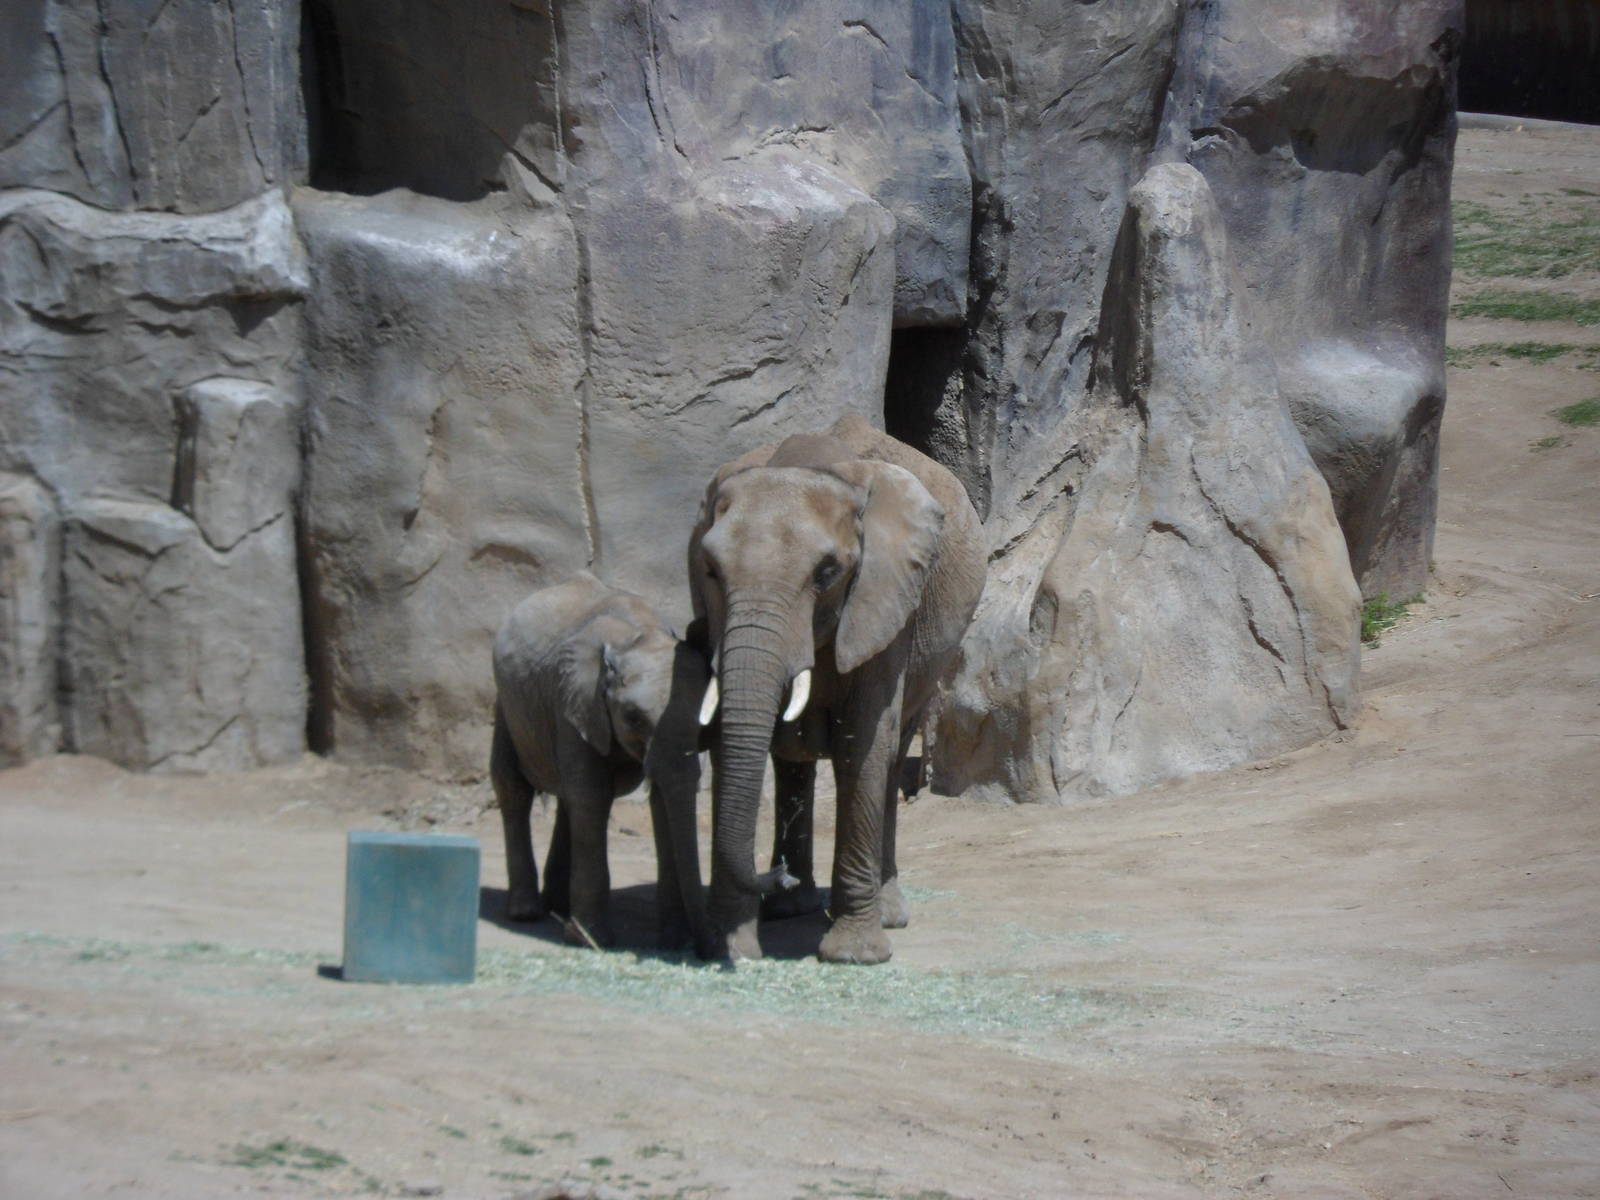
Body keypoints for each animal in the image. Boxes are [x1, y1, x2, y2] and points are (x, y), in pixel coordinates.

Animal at [490, 572, 723, 958]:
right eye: (633, 718)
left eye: (706, 726)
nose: (708, 952)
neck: (636, 636)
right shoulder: (574, 701)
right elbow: (592, 796)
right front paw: (590, 941)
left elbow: (659, 801)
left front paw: (673, 942)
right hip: (507, 704)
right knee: (514, 787)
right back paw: (526, 912)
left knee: (568, 799)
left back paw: (557, 905)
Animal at [689, 413, 986, 964]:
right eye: (711, 571)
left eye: (827, 573)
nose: (774, 875)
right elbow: (729, 742)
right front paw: (727, 948)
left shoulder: (885, 592)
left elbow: (862, 743)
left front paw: (854, 955)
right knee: (791, 759)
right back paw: (792, 907)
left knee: (891, 755)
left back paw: (885, 913)